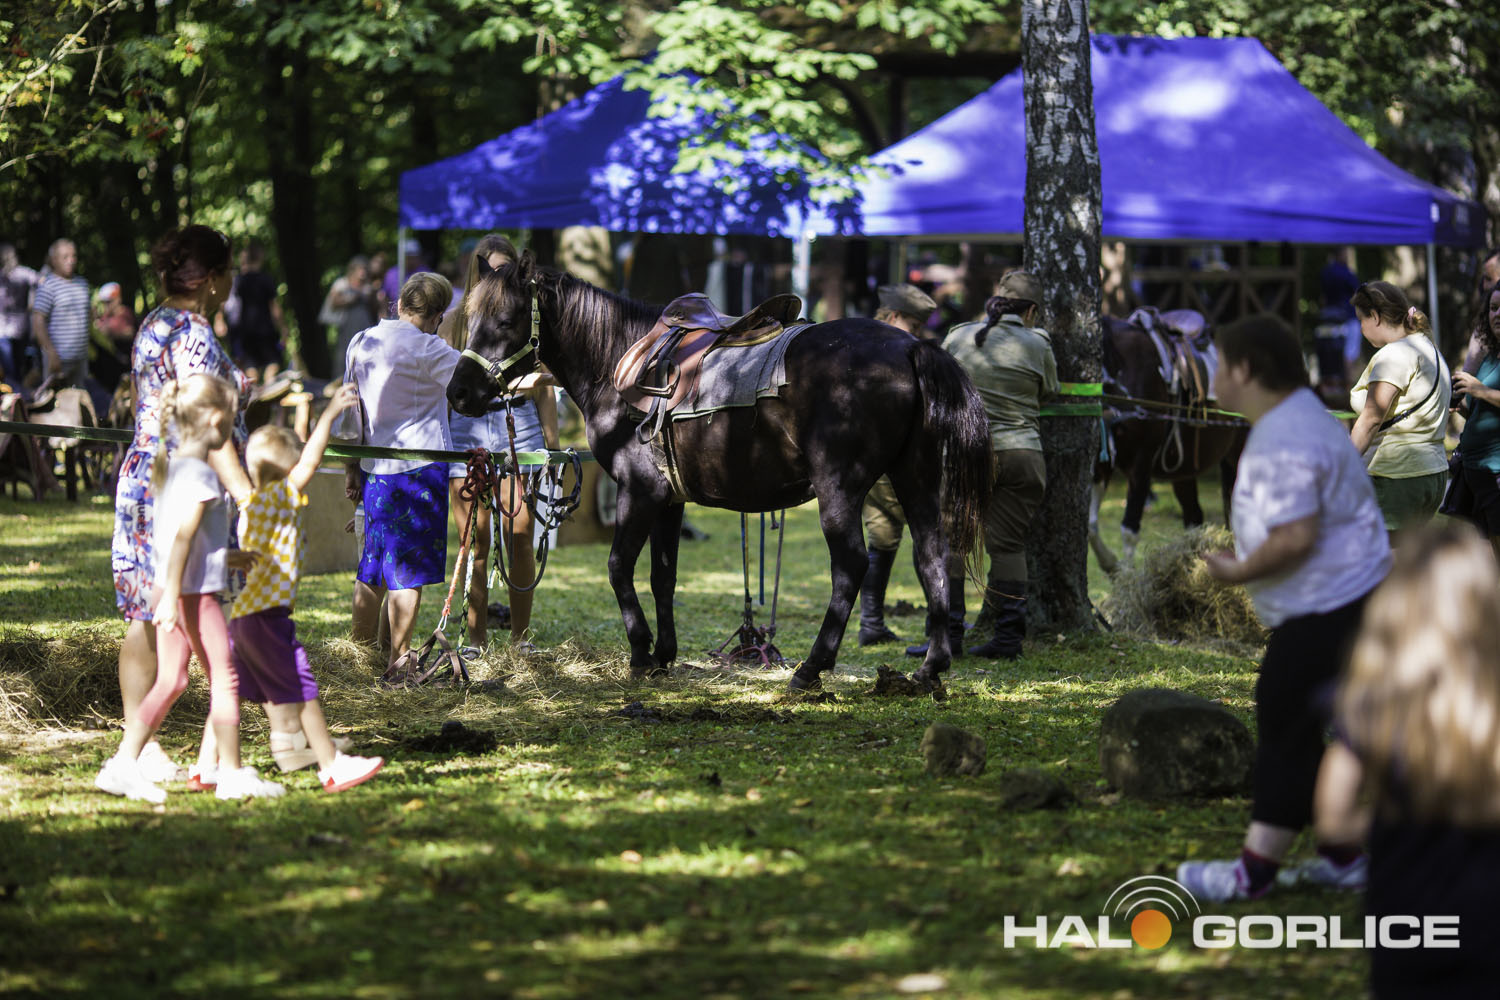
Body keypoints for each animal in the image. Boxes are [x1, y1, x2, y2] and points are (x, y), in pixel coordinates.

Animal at [446, 252, 992, 692]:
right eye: (470, 319)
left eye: (506, 319)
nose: (459, 393)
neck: (616, 358)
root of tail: (912, 347)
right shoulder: (668, 500)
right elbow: (662, 575)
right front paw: (664, 654)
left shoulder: (638, 492)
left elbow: (619, 567)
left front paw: (640, 653)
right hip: (916, 479)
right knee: (932, 557)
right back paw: (931, 667)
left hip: (841, 489)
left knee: (852, 566)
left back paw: (811, 669)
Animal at [1088, 311, 1247, 572]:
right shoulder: (1103, 461)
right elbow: (1090, 525)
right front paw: (1110, 563)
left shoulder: (1142, 461)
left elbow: (1129, 528)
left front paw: (1125, 574)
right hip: (1184, 469)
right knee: (1194, 517)